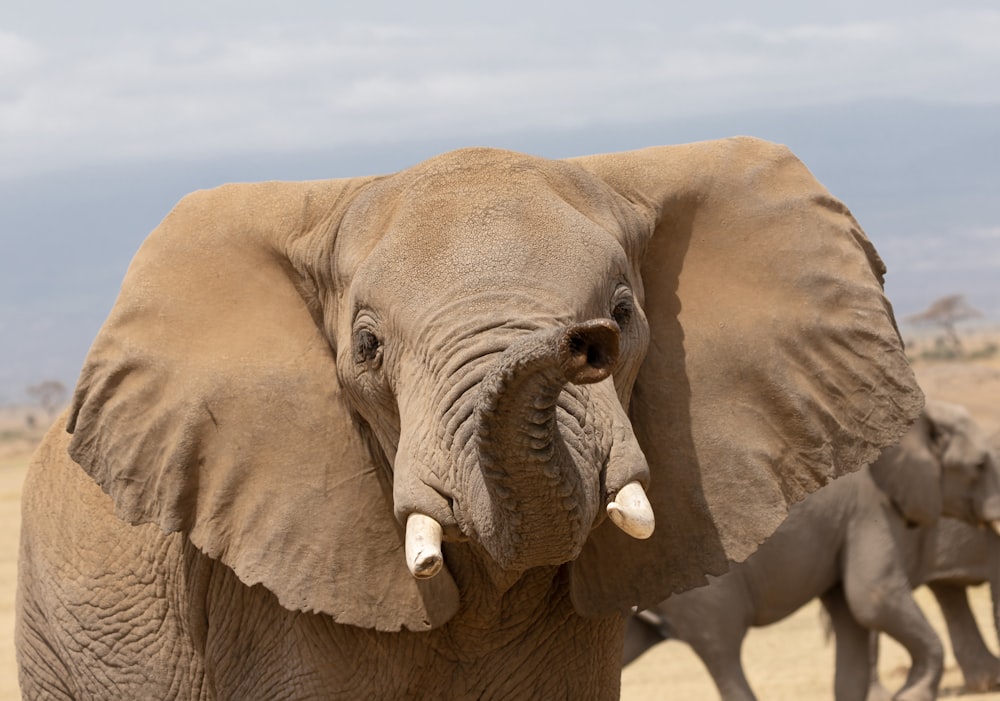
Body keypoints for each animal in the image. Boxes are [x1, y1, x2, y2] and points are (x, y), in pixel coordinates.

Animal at [624, 400, 1000, 700]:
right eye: (980, 465)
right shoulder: (871, 509)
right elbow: (873, 599)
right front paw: (912, 696)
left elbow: (851, 614)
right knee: (722, 649)